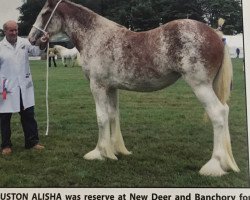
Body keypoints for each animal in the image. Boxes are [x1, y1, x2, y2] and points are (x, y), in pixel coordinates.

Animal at [28, 0, 240, 176]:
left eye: (45, 13)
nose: (31, 38)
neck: (96, 37)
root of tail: (216, 35)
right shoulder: (111, 88)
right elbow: (113, 116)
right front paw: (115, 150)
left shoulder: (97, 86)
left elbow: (101, 118)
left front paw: (99, 153)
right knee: (225, 111)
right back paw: (227, 163)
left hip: (200, 86)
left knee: (218, 114)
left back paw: (214, 165)